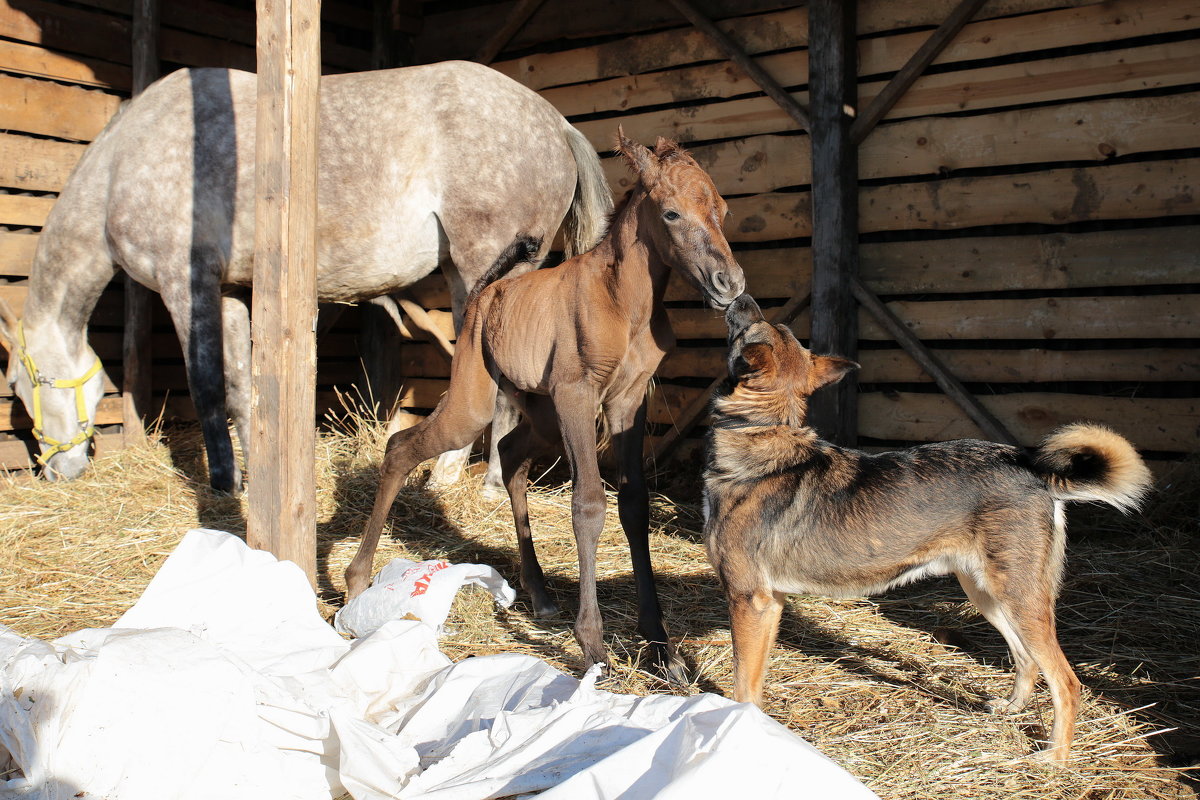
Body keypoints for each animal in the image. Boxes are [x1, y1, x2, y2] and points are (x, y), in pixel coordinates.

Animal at [0, 62, 609, 491]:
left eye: (19, 387)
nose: (58, 471)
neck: (127, 159)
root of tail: (555, 122)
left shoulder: (183, 284)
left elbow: (207, 387)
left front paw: (223, 485)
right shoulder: (226, 290)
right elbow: (241, 388)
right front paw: (252, 473)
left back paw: (466, 480)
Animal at [343, 131, 744, 681]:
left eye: (721, 210)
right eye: (671, 214)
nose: (730, 283)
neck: (624, 302)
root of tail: (487, 292)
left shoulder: (627, 402)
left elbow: (634, 504)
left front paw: (662, 648)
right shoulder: (577, 393)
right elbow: (589, 504)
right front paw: (593, 645)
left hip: (541, 412)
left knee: (510, 454)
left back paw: (538, 592)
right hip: (477, 400)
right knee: (402, 445)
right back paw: (356, 580)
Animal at [700, 293, 1152, 762]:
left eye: (750, 325)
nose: (741, 298)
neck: (762, 434)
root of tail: (1030, 468)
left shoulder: (749, 601)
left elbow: (742, 684)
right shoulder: (770, 603)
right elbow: (755, 682)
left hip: (1018, 599)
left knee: (1067, 680)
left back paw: (1055, 759)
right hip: (987, 595)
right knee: (1026, 659)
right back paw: (1011, 709)